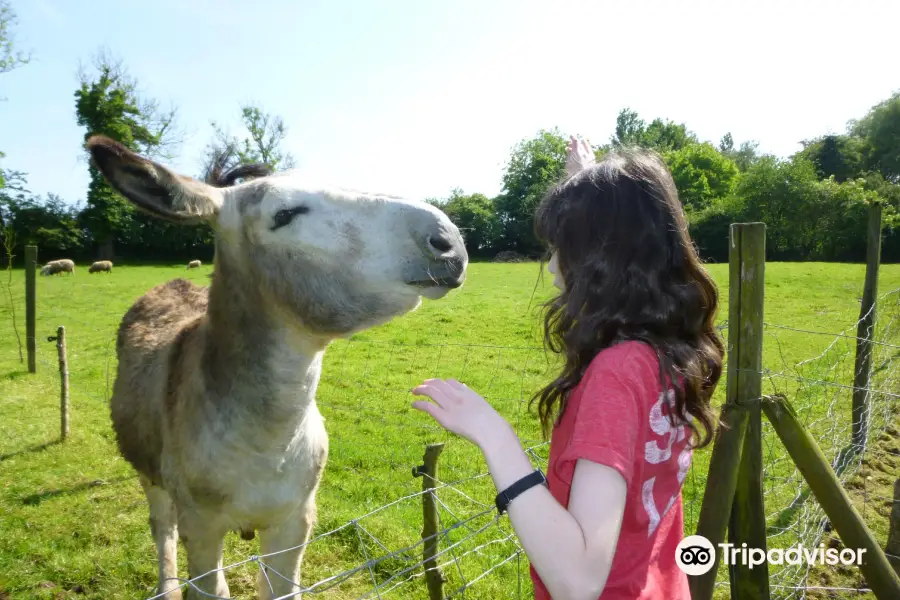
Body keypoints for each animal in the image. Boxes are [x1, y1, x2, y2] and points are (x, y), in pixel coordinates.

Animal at [82, 136, 472, 600]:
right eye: (284, 215)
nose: (447, 238)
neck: (271, 439)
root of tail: (171, 284)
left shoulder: (295, 520)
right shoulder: (202, 527)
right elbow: (209, 583)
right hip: (150, 473)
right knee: (162, 528)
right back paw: (167, 585)